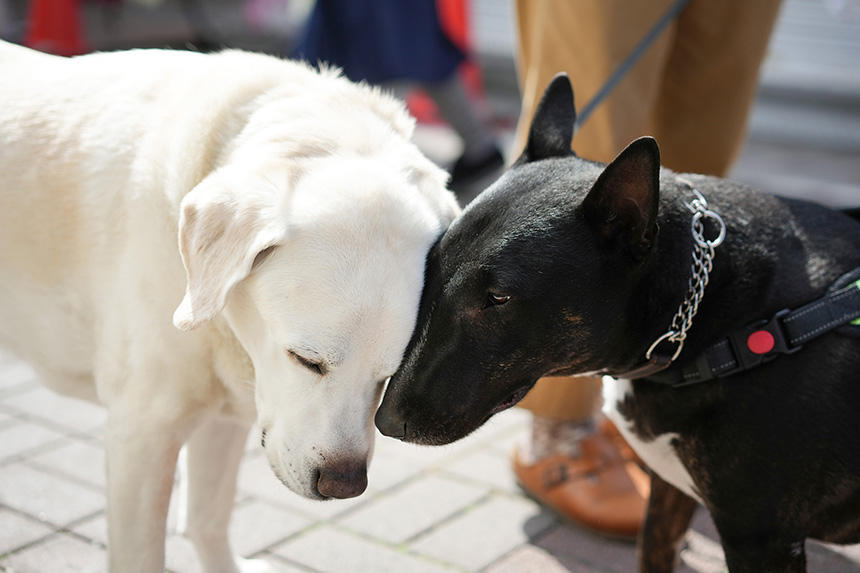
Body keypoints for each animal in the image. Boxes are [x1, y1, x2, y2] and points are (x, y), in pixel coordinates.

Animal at [0, 42, 456, 568]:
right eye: (306, 360)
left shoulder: (222, 413)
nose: (344, 484)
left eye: (388, 376)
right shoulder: (142, 434)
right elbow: (142, 554)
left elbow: (207, 517)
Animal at [380, 73, 860, 568]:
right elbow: (653, 550)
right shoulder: (669, 490)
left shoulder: (761, 538)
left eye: (498, 298)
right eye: (430, 268)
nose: (386, 422)